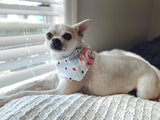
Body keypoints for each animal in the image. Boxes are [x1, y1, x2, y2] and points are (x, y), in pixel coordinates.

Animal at [0, 19, 160, 107]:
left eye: (67, 36)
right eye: (48, 35)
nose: (55, 39)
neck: (66, 60)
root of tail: (152, 69)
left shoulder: (59, 91)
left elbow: (27, 92)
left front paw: (5, 99)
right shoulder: (54, 83)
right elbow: (28, 86)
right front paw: (6, 95)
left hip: (144, 92)